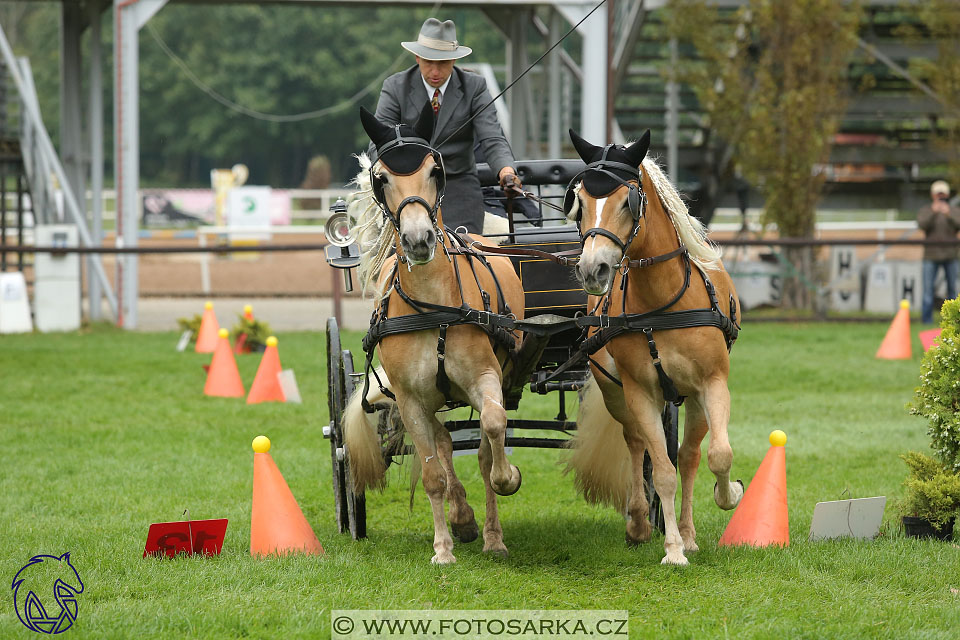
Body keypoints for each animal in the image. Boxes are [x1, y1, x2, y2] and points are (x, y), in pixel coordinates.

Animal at [342, 102, 524, 564]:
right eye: (381, 178)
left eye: (435, 169)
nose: (419, 239)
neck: (433, 308)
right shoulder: (409, 400)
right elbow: (431, 474)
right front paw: (443, 548)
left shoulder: (486, 378)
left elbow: (493, 430)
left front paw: (508, 479)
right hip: (428, 401)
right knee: (443, 442)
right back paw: (462, 520)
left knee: (480, 447)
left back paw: (492, 535)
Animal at [564, 129, 744, 564]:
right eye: (580, 202)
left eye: (627, 200)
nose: (592, 270)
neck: (664, 302)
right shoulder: (640, 392)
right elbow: (661, 469)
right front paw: (673, 549)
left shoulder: (712, 384)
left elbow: (717, 455)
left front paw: (727, 496)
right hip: (615, 389)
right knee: (635, 443)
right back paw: (640, 522)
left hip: (689, 397)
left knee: (690, 455)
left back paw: (689, 531)